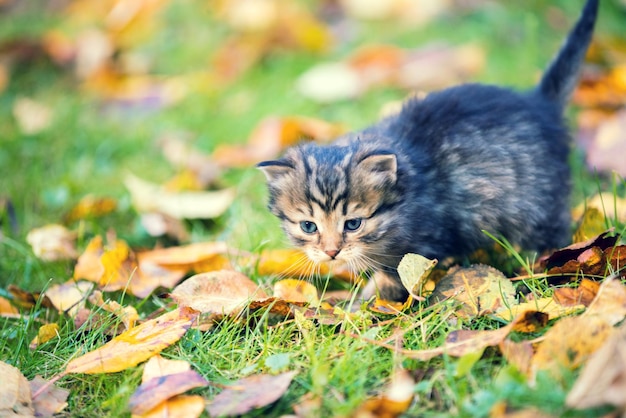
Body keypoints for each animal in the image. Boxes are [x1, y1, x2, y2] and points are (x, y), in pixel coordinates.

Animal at [258, 0, 596, 300]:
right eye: (308, 226)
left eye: (353, 224)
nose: (331, 252)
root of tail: (540, 104)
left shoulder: (422, 246)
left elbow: (394, 279)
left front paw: (361, 305)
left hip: (536, 204)